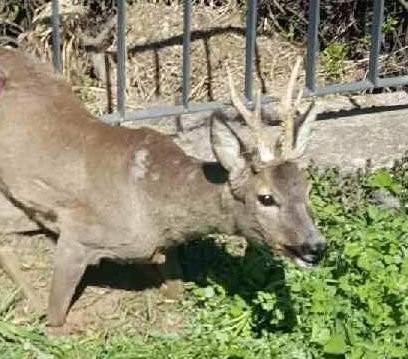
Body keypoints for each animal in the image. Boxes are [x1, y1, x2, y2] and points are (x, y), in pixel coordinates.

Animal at [0, 47, 326, 330]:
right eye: (266, 197)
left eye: (306, 190)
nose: (315, 247)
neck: (152, 203)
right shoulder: (78, 234)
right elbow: (55, 319)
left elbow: (175, 288)